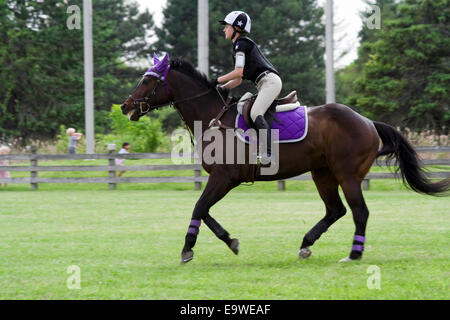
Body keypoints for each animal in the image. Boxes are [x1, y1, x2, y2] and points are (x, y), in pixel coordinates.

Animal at [120, 53, 450, 262]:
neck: (212, 117)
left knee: (359, 212)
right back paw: (306, 245)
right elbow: (205, 211)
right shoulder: (222, 180)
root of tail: (368, 121)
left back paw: (354, 254)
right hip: (323, 173)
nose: (125, 107)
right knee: (335, 210)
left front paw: (187, 250)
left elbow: (200, 208)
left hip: (347, 174)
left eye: (148, 81)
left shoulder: (224, 178)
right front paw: (230, 241)